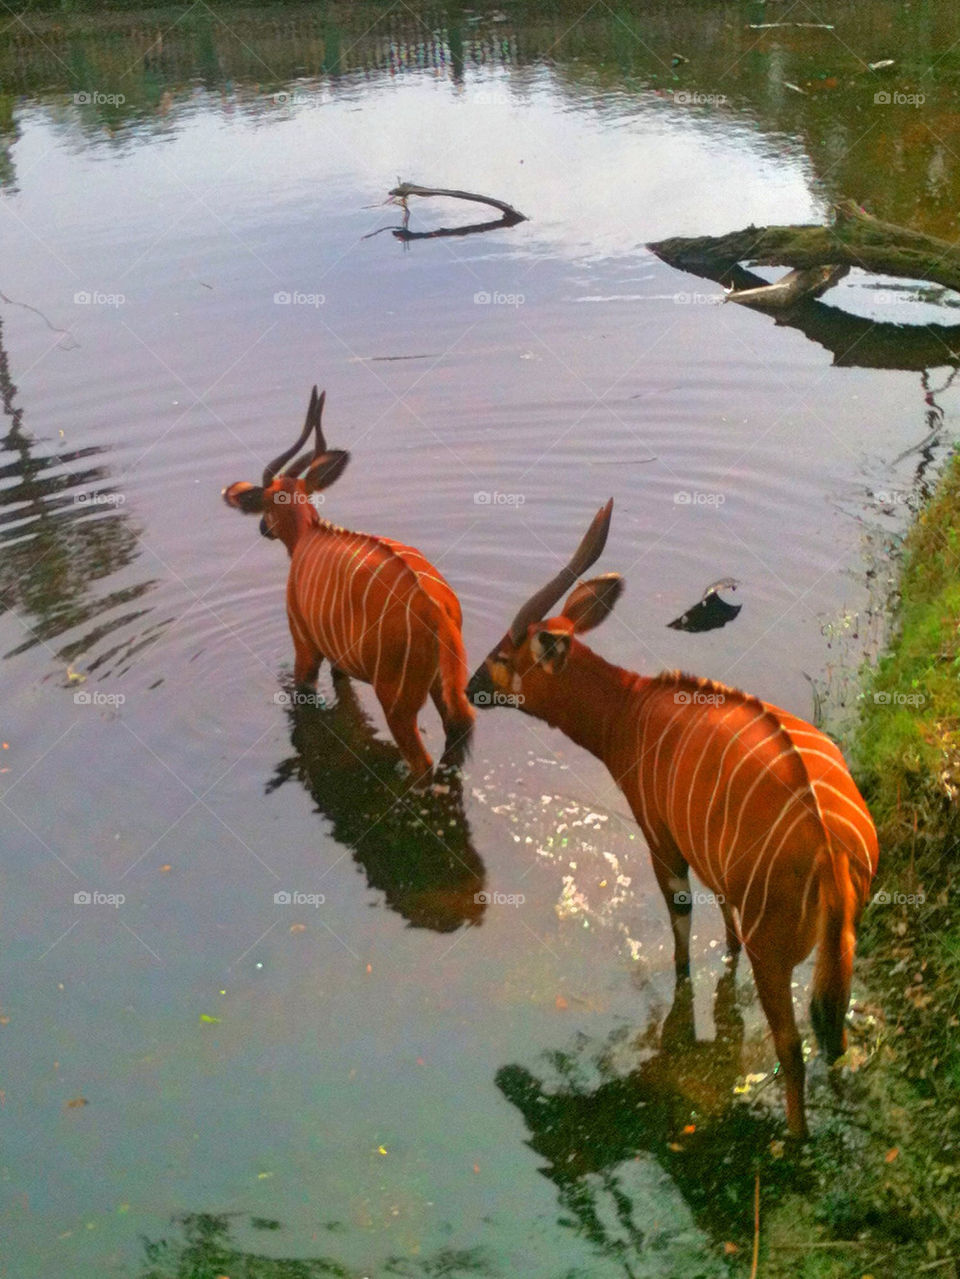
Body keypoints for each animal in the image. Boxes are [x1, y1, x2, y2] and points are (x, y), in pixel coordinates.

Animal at [224, 383, 472, 777]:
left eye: (266, 504)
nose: (263, 527)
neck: (309, 534)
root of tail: (437, 612)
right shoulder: (339, 660)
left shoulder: (306, 645)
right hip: (448, 688)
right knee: (459, 733)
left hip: (397, 701)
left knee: (422, 761)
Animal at [470, 501, 884, 1140]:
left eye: (500, 657)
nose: (469, 687)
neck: (631, 708)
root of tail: (833, 847)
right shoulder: (714, 863)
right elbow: (725, 930)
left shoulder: (662, 840)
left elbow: (682, 932)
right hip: (839, 941)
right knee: (833, 1033)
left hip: (775, 951)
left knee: (793, 1046)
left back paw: (793, 1142)